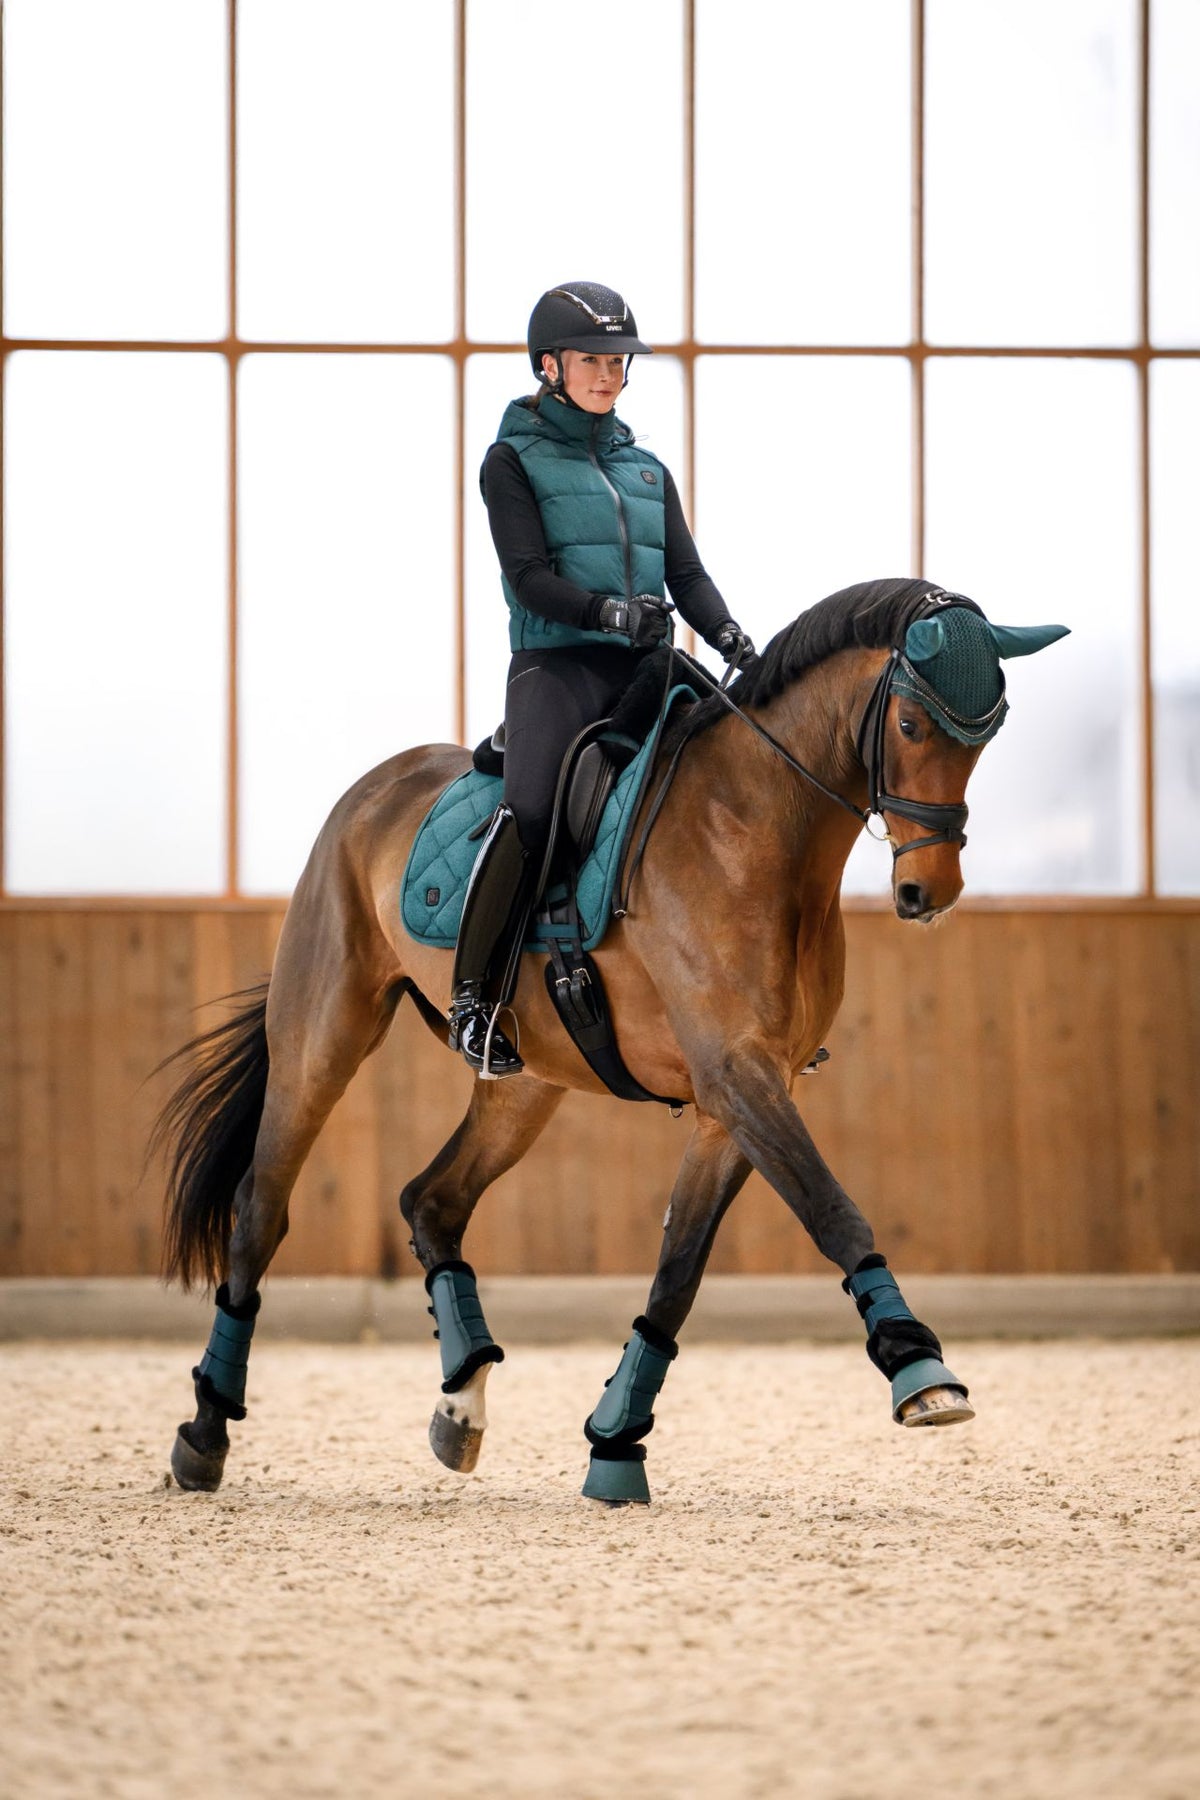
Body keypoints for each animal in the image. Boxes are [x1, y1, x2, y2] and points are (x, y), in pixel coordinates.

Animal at [155, 577, 1067, 1504]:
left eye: (988, 733)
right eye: (912, 724)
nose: (929, 892)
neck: (754, 829)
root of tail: (374, 789)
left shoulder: (737, 1097)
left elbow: (678, 1272)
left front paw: (616, 1444)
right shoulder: (737, 1075)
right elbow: (830, 1207)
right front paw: (921, 1369)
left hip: (526, 1081)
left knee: (432, 1202)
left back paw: (462, 1404)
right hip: (324, 1034)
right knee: (259, 1212)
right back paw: (204, 1433)